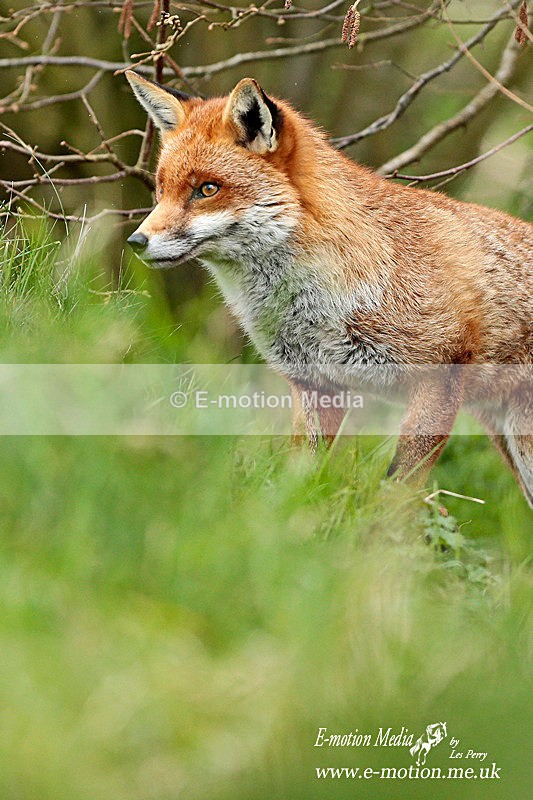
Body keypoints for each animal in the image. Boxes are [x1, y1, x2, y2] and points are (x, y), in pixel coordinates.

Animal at [125, 71, 533, 507]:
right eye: (160, 190)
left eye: (207, 189)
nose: (136, 241)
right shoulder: (315, 383)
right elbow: (301, 478)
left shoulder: (439, 379)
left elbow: (396, 494)